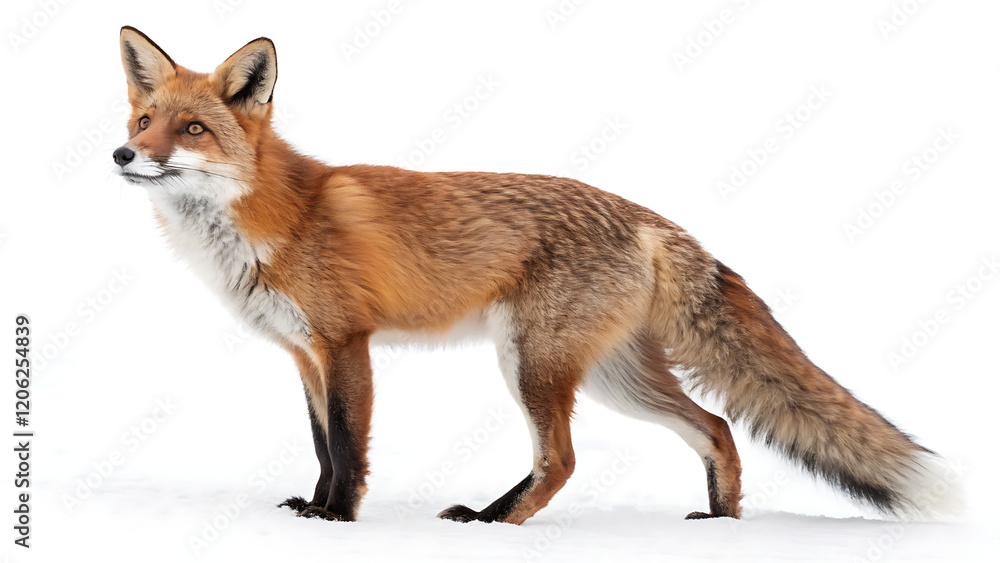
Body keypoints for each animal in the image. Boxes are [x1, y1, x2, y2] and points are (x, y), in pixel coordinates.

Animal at [112, 26, 958, 525]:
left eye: (192, 129)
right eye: (143, 123)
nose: (122, 154)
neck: (265, 219)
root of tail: (649, 217)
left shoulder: (347, 342)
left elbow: (350, 446)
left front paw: (339, 519)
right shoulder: (304, 353)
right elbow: (323, 445)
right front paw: (312, 507)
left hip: (533, 362)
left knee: (564, 459)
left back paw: (494, 521)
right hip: (615, 375)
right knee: (715, 426)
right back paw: (721, 521)